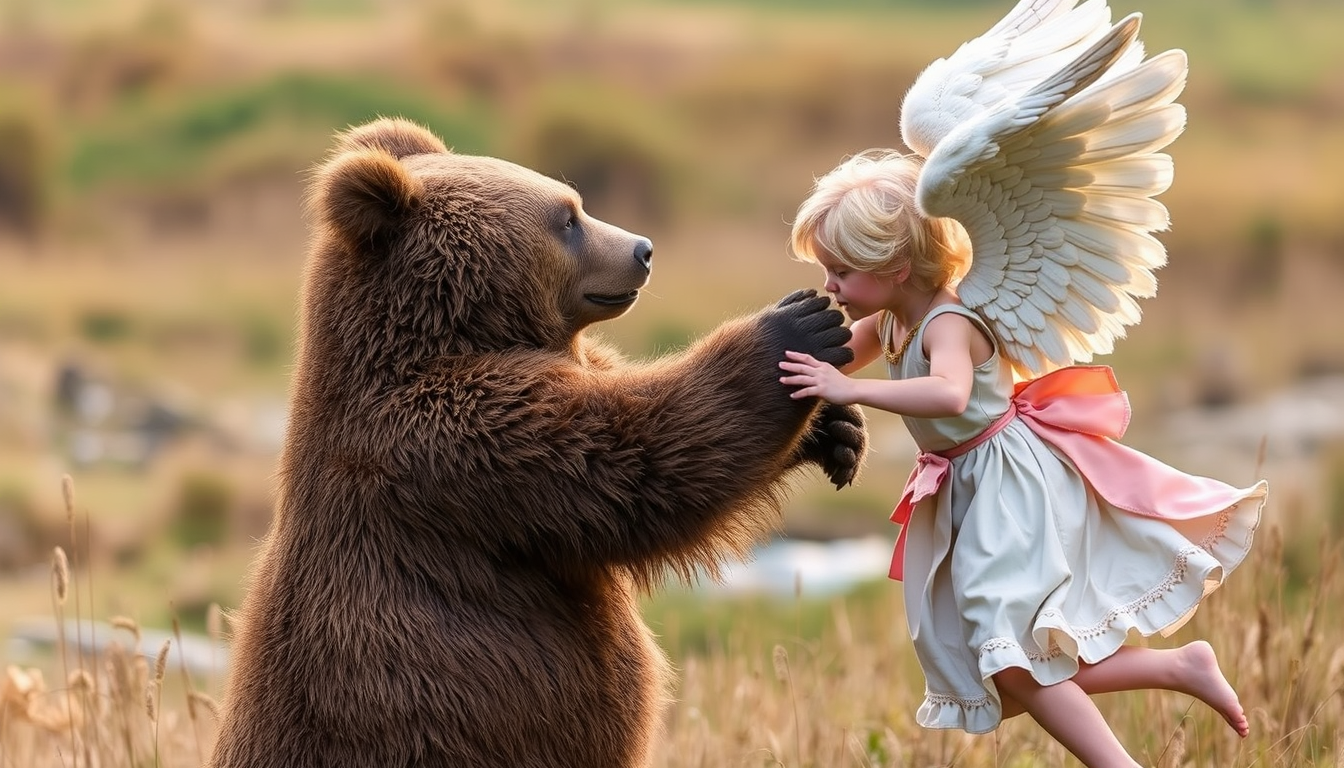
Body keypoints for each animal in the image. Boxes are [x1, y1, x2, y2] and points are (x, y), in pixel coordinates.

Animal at [207, 117, 867, 768]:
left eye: (576, 202)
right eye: (567, 217)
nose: (643, 249)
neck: (454, 334)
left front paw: (837, 429)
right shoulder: (457, 440)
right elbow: (634, 461)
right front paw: (795, 326)